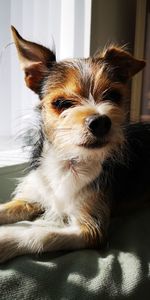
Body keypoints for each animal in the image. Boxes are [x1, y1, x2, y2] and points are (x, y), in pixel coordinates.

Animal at [0, 27, 150, 262]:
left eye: (113, 96)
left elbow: (42, 234)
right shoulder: (32, 198)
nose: (100, 122)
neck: (69, 160)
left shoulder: (91, 229)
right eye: (62, 103)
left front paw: (4, 241)